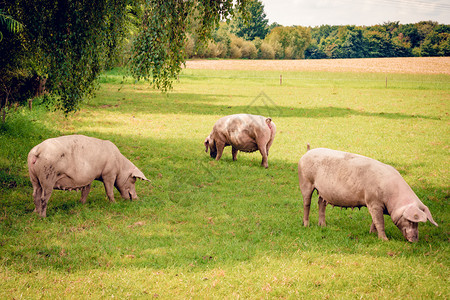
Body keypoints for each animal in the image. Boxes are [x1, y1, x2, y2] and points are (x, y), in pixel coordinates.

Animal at [298, 146, 438, 243]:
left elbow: (375, 220)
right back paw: (306, 225)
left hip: (323, 191)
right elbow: (380, 221)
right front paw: (384, 240)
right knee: (306, 203)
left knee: (321, 203)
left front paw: (372, 234)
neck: (393, 198)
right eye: (411, 220)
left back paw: (323, 226)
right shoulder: (373, 201)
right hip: (305, 181)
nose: (415, 240)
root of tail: (307, 152)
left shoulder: (377, 205)